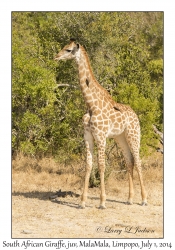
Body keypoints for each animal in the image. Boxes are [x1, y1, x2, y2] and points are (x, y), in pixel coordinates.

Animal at [54, 39, 148, 209]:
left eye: (69, 50)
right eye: (64, 47)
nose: (56, 57)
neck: (91, 105)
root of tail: (135, 115)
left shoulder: (101, 136)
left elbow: (102, 165)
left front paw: (102, 201)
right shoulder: (88, 136)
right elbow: (88, 165)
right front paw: (82, 202)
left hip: (133, 135)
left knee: (138, 161)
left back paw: (144, 199)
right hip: (120, 137)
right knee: (129, 161)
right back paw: (130, 199)